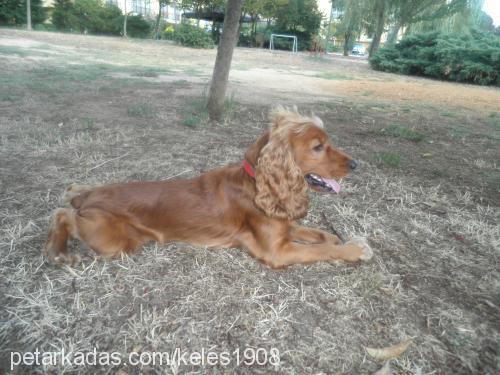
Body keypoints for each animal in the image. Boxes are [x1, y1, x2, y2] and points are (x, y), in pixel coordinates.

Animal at [44, 107, 372, 268]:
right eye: (318, 147)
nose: (356, 164)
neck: (256, 181)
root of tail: (89, 194)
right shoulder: (276, 250)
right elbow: (317, 250)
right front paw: (353, 250)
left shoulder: (283, 223)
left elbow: (315, 234)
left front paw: (335, 238)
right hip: (112, 238)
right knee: (61, 214)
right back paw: (60, 253)